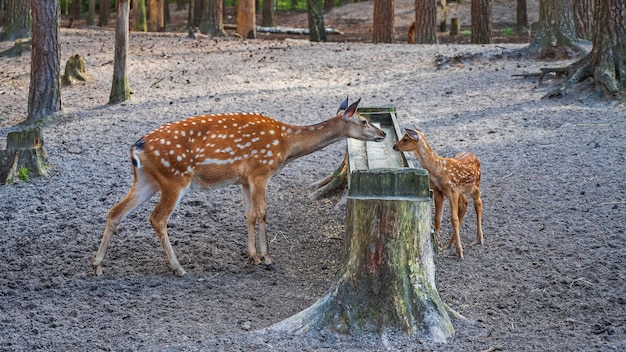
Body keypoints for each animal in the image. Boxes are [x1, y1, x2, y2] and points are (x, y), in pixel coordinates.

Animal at [92, 97, 386, 276]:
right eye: (364, 120)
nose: (383, 133)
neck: (286, 145)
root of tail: (135, 148)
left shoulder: (244, 180)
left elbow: (249, 214)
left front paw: (252, 255)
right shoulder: (260, 171)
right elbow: (263, 213)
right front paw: (267, 259)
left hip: (147, 180)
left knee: (115, 211)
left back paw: (97, 265)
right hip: (175, 178)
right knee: (157, 218)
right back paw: (178, 268)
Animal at [390, 127, 482, 258]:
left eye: (405, 139)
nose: (394, 146)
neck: (438, 169)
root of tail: (474, 156)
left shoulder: (452, 190)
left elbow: (453, 219)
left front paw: (460, 251)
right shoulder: (438, 191)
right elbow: (437, 219)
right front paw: (437, 243)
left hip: (475, 185)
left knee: (478, 203)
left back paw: (479, 238)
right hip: (462, 191)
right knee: (464, 204)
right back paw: (451, 242)